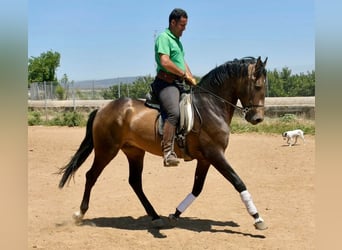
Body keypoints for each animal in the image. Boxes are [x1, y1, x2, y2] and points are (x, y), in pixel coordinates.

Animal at [58, 56, 268, 230]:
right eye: (258, 86)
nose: (257, 118)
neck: (210, 107)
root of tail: (102, 108)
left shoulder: (205, 159)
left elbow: (197, 189)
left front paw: (175, 214)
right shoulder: (215, 154)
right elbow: (238, 182)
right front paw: (258, 218)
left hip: (134, 152)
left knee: (135, 182)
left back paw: (155, 216)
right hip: (106, 150)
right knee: (91, 175)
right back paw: (79, 213)